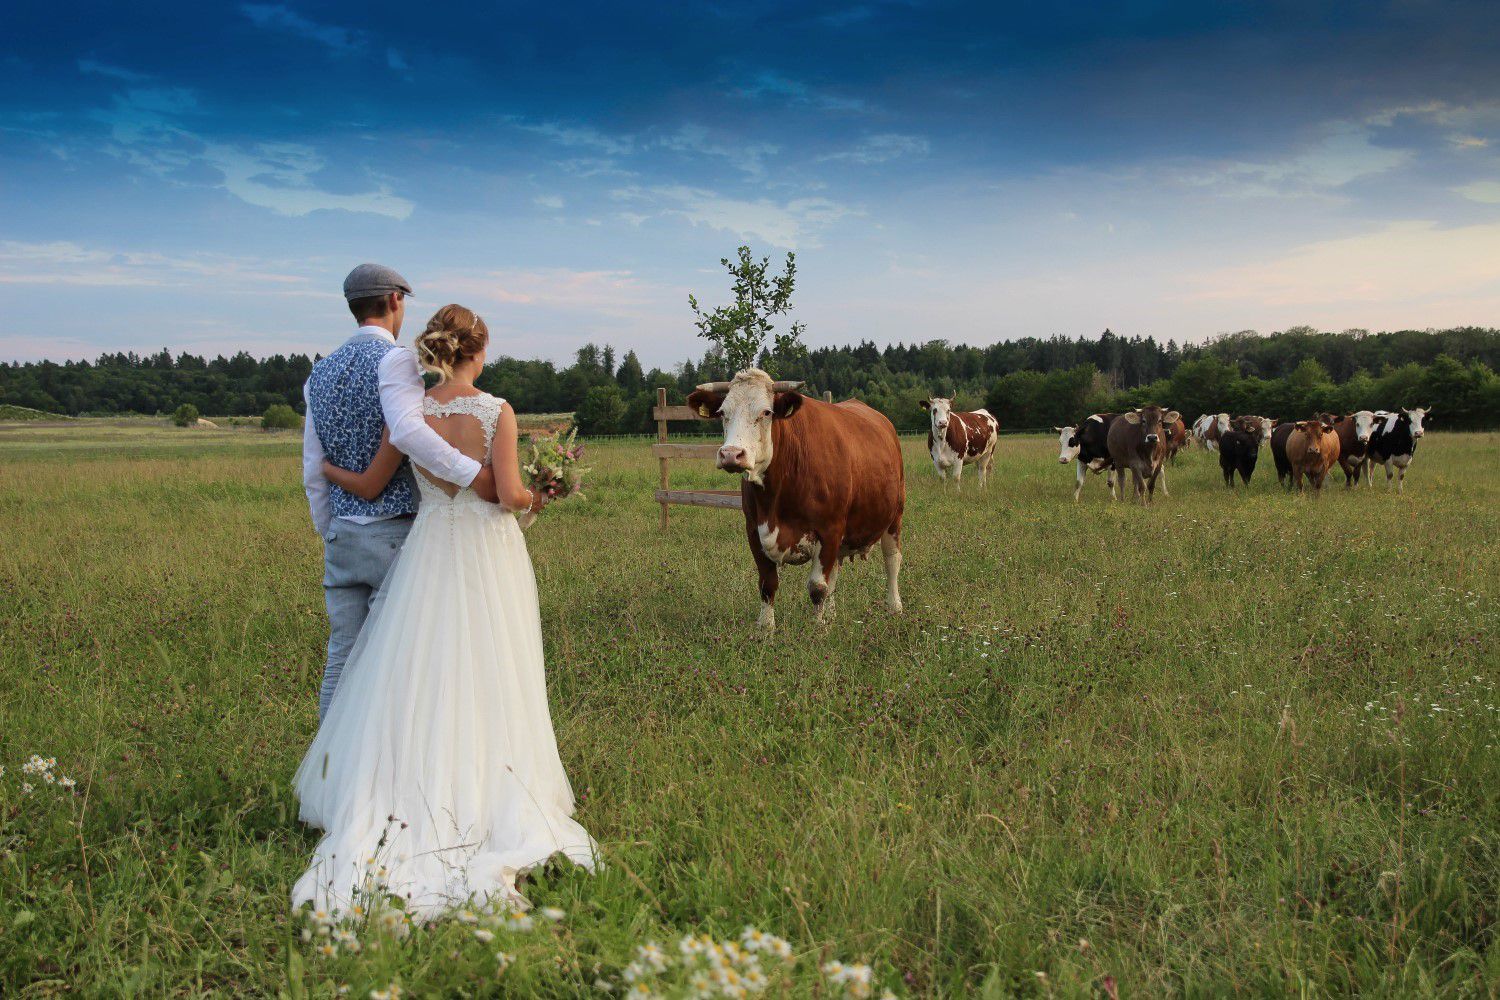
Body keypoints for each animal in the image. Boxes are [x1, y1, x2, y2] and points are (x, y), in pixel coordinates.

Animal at [687, 367, 900, 632]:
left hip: (895, 516)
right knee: (836, 572)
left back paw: (894, 607)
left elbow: (818, 587)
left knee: (892, 560)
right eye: (722, 413)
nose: (731, 454)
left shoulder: (830, 529)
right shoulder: (754, 530)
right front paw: (766, 629)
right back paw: (832, 615)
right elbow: (767, 584)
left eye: (766, 412)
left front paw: (817, 629)